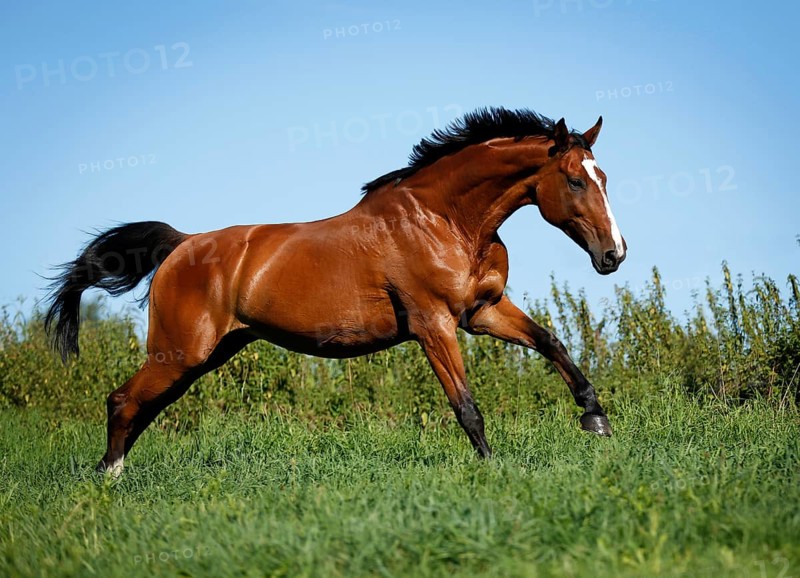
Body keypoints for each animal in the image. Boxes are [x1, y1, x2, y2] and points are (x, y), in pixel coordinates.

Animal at [44, 107, 626, 476]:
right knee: (123, 401)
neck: (444, 220)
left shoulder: (482, 312)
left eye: (604, 179)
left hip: (204, 356)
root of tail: (181, 245)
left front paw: (595, 420)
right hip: (179, 351)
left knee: (142, 407)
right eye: (576, 180)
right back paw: (109, 478)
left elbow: (551, 343)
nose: (614, 255)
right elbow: (465, 404)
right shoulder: (433, 324)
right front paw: (492, 468)